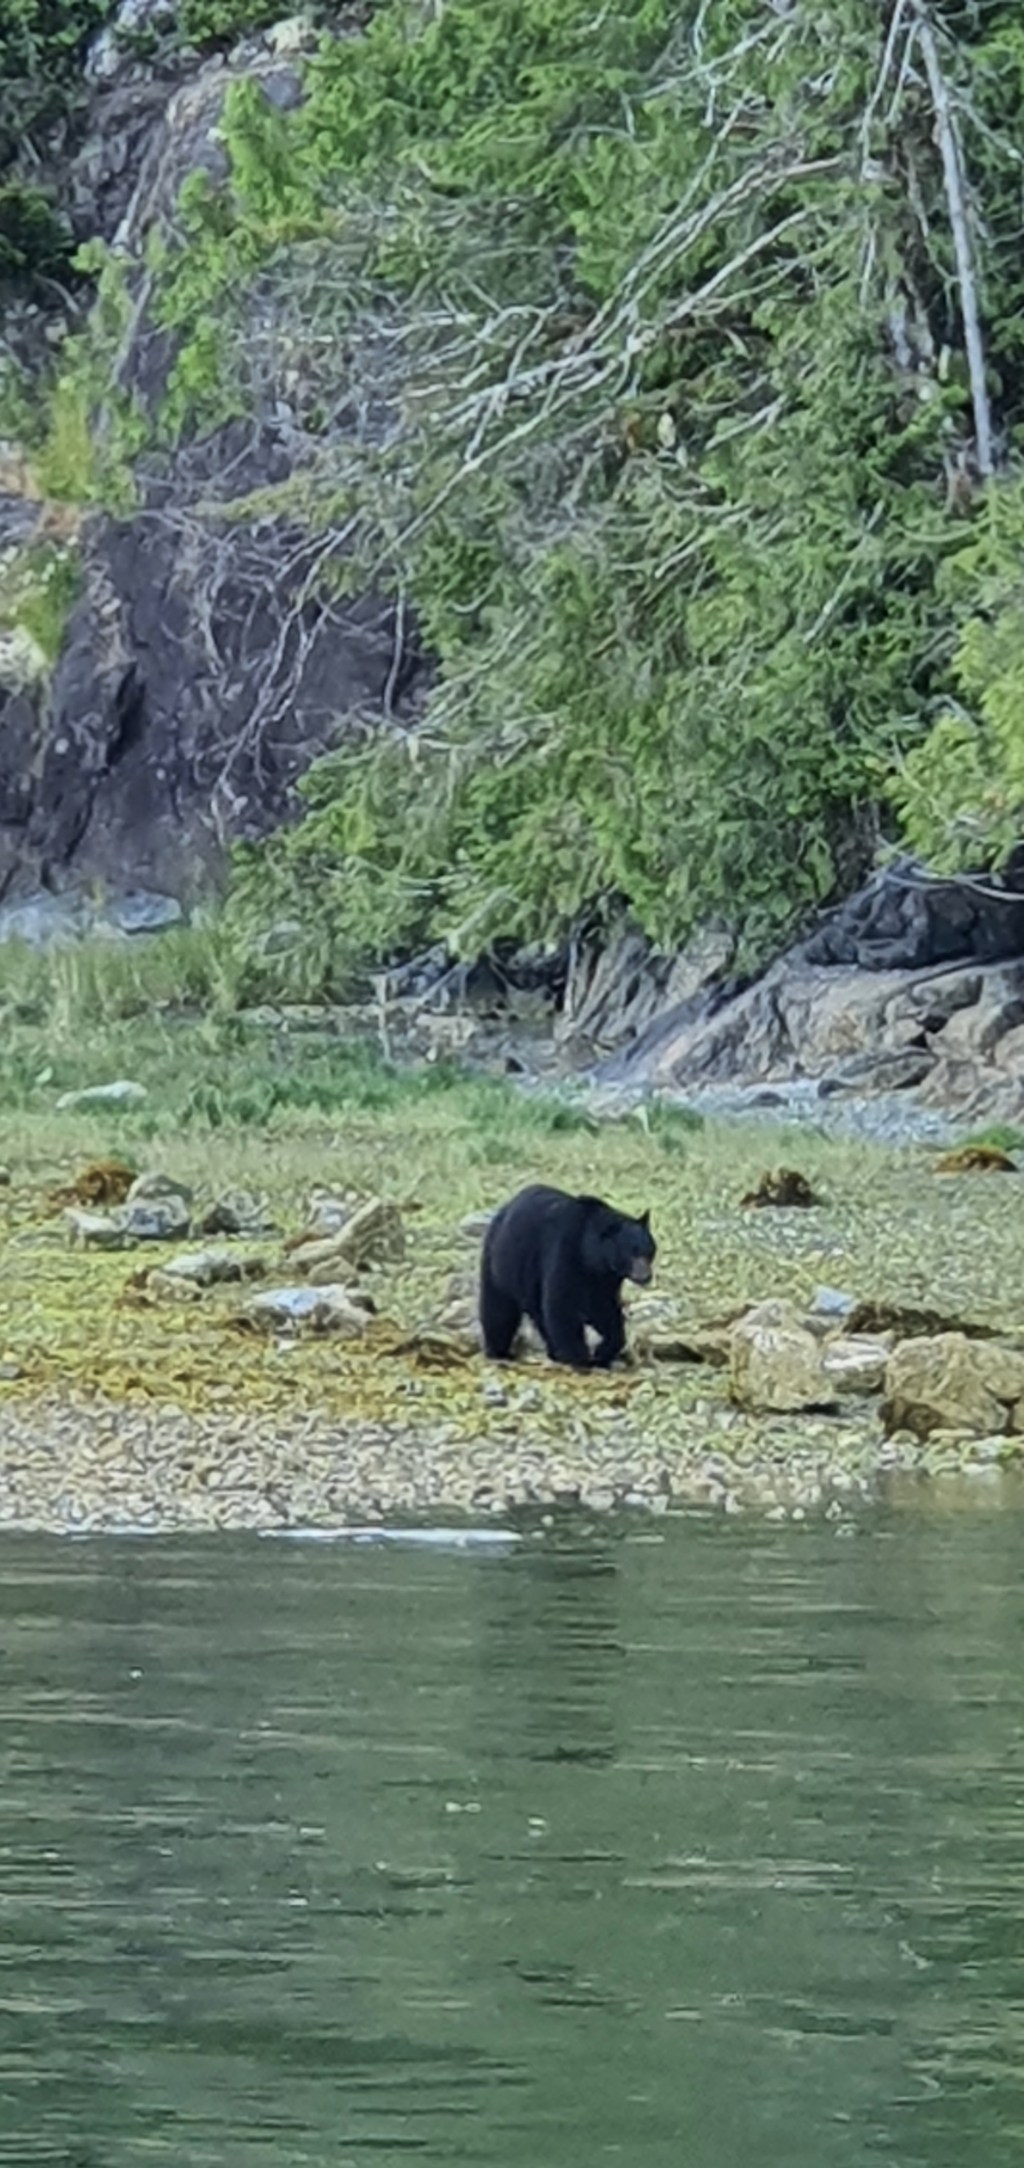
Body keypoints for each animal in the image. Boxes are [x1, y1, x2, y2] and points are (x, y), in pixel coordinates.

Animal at [479, 1184, 655, 1370]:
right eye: (632, 1253)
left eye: (649, 1251)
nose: (646, 1276)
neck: (591, 1258)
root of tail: (505, 1208)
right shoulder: (564, 1254)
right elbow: (561, 1304)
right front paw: (579, 1357)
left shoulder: (604, 1281)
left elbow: (606, 1310)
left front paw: (602, 1353)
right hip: (500, 1264)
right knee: (499, 1308)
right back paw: (499, 1351)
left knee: (539, 1315)